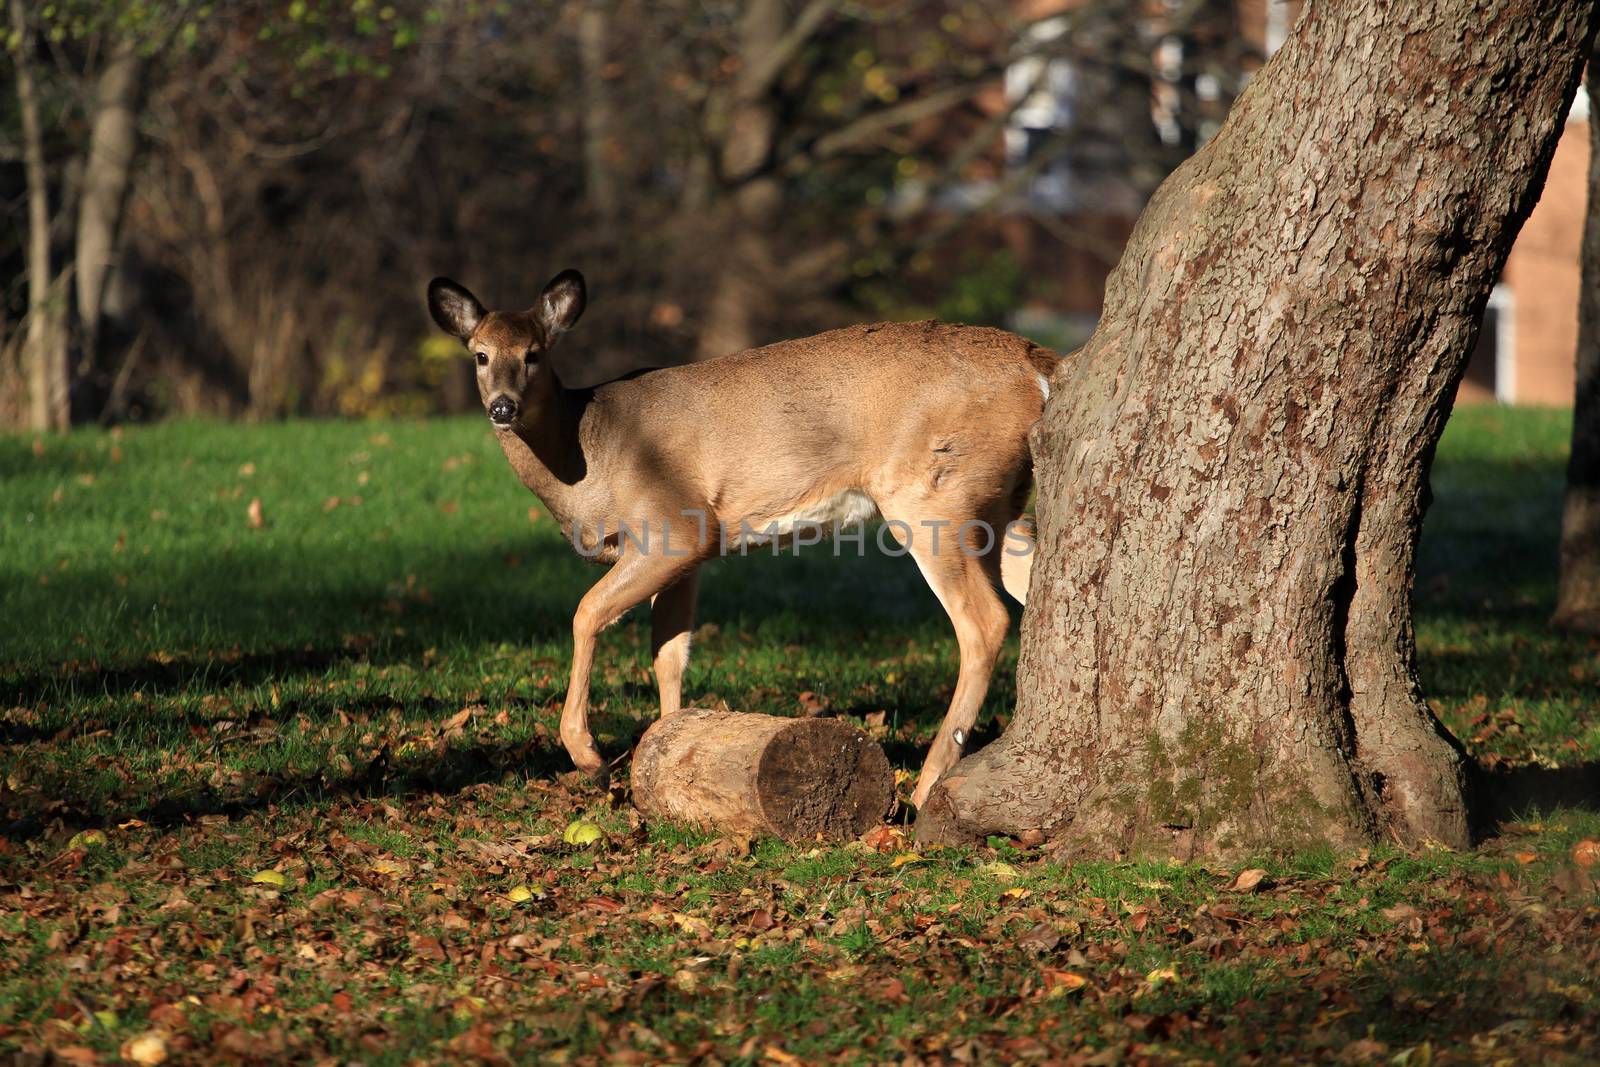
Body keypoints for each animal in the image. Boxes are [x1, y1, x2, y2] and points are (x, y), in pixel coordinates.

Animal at [425, 271, 1062, 806]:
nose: (501, 407)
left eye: (534, 354)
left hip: (932, 496)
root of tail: (1039, 364)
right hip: (997, 507)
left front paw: (590, 757)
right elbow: (668, 653)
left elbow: (587, 612)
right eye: (480, 355)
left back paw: (927, 787)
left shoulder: (677, 525)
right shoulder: (689, 555)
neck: (586, 457)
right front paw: (666, 761)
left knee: (984, 622)